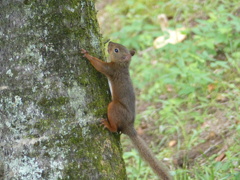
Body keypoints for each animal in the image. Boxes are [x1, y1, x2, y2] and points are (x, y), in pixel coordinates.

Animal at [81, 41, 172, 179]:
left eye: (116, 50)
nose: (109, 42)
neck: (122, 65)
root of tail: (129, 126)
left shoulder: (111, 69)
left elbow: (100, 66)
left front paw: (87, 55)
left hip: (114, 108)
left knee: (114, 127)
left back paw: (108, 125)